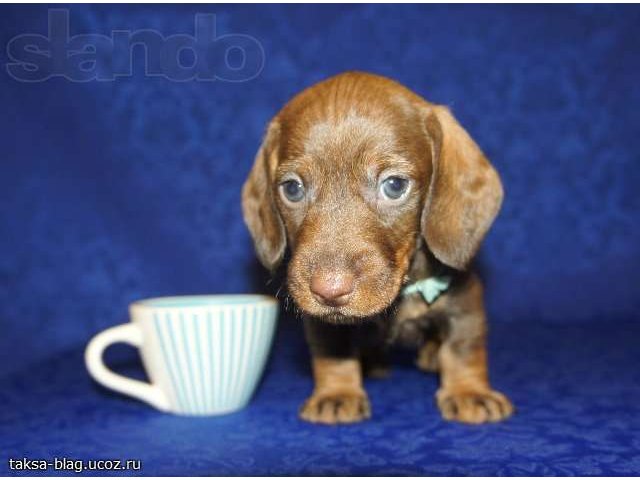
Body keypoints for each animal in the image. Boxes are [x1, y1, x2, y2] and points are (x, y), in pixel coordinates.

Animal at [242, 71, 512, 424]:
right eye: (292, 189)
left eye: (394, 185)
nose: (329, 290)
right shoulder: (324, 324)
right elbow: (333, 352)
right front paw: (337, 393)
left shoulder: (464, 299)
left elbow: (462, 347)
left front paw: (469, 391)